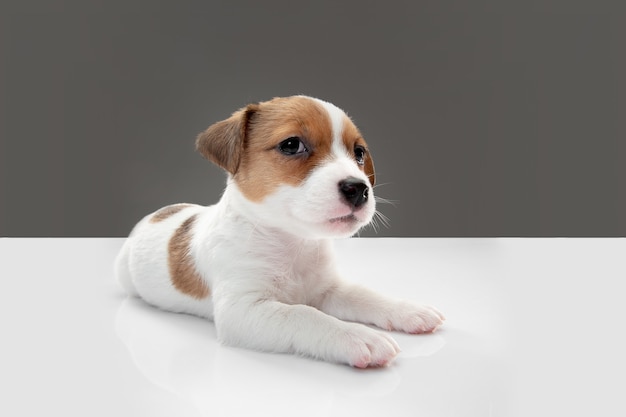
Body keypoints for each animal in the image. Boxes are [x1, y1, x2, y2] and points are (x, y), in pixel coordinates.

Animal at [113, 95, 444, 368]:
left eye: (359, 153)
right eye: (291, 145)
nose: (358, 189)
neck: (293, 244)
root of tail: (159, 212)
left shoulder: (327, 289)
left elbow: (364, 295)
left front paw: (407, 310)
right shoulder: (243, 310)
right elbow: (304, 314)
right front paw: (357, 335)